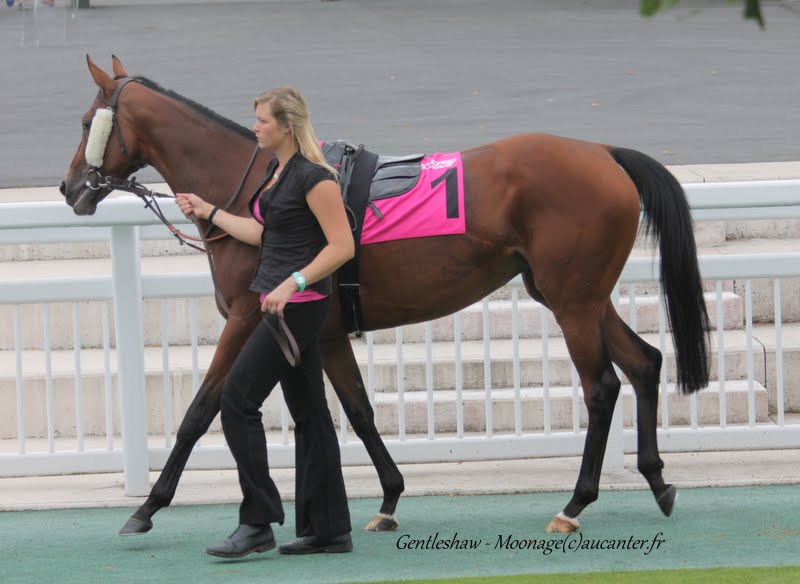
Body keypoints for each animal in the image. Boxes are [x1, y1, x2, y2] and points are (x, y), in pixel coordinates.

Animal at [61, 57, 708, 536]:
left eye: (88, 120)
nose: (69, 188)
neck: (255, 191)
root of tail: (604, 153)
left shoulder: (248, 317)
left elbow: (201, 409)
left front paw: (148, 507)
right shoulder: (321, 331)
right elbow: (358, 410)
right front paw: (390, 498)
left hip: (572, 302)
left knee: (602, 388)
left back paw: (575, 504)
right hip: (576, 295)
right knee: (645, 362)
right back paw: (658, 481)